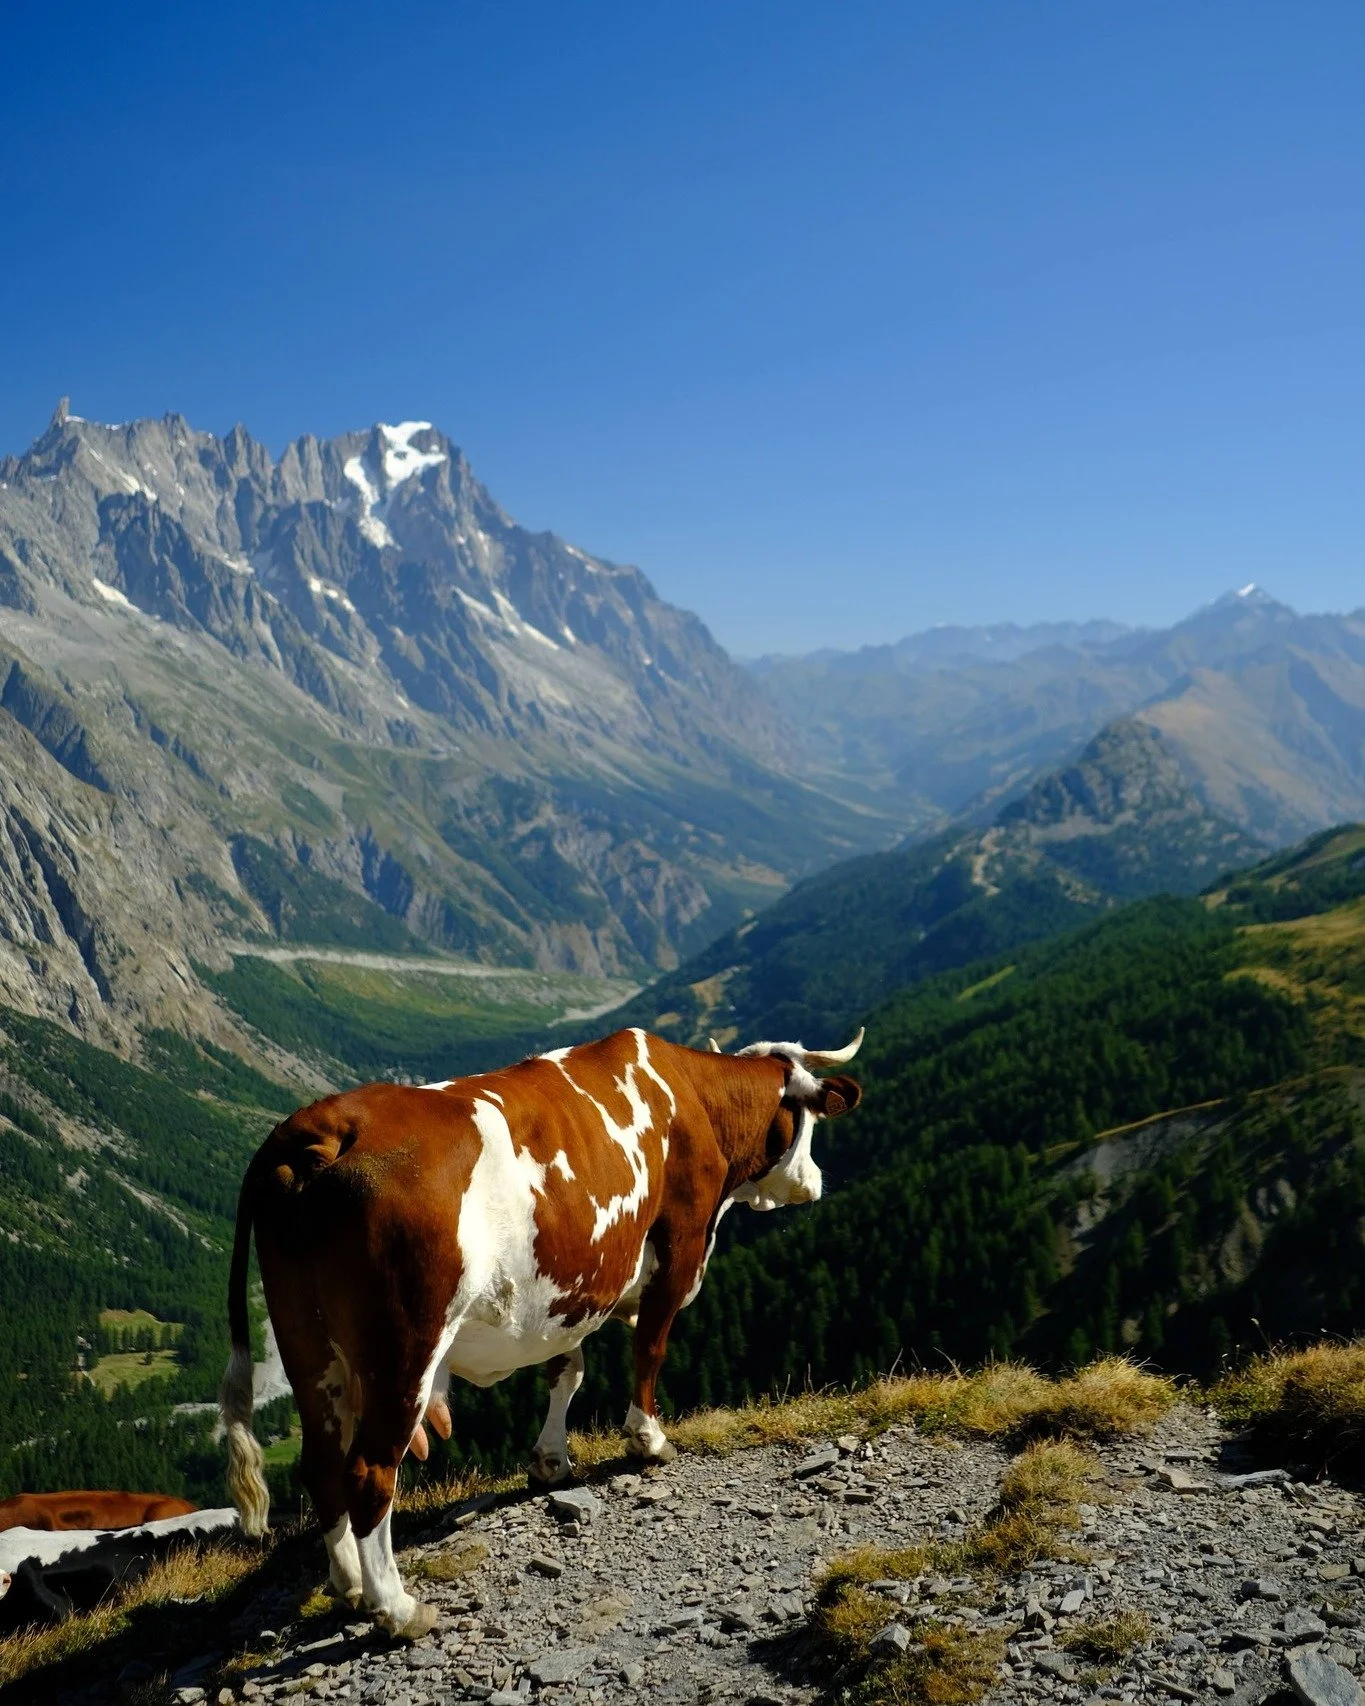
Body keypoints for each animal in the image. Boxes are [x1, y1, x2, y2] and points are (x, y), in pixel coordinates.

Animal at [220, 1026, 862, 1637]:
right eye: (808, 1120)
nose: (814, 1181)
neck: (693, 1099)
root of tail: (322, 1125)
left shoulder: (571, 1289)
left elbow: (567, 1371)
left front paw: (552, 1461)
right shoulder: (678, 1247)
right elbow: (650, 1349)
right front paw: (648, 1440)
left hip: (306, 1345)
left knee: (320, 1462)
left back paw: (349, 1582)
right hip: (404, 1348)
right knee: (369, 1471)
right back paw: (396, 1609)